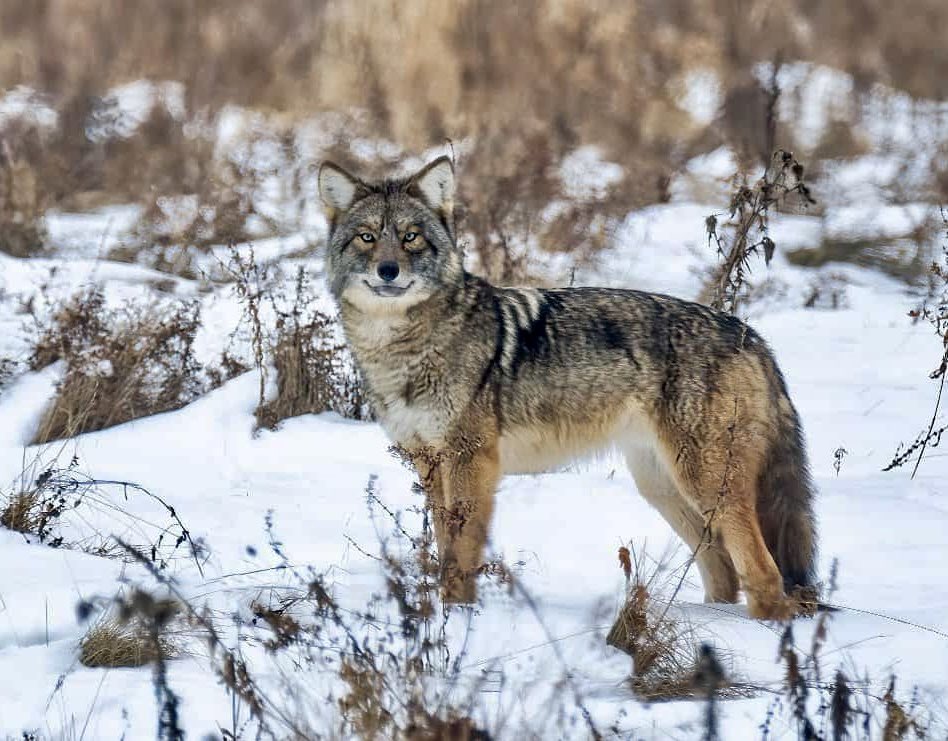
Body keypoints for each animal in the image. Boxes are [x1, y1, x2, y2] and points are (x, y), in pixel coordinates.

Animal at [318, 156, 817, 619]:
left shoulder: (471, 461)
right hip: (663, 487)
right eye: (367, 237)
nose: (388, 270)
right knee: (723, 571)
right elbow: (445, 548)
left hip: (707, 485)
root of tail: (751, 335)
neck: (403, 348)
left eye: (410, 237)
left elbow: (461, 552)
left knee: (763, 571)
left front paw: (456, 618)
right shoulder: (430, 462)